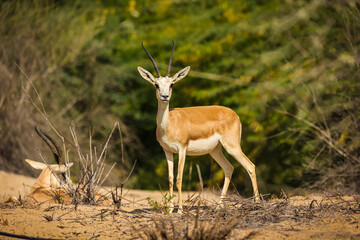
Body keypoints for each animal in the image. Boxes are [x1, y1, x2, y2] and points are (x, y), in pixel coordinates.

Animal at [138, 41, 258, 214]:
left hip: (232, 146)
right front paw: (170, 210)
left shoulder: (182, 149)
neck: (169, 123)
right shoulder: (167, 150)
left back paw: (257, 204)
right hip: (215, 150)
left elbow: (179, 178)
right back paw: (219, 207)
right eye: (156, 84)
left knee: (250, 166)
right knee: (229, 168)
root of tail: (234, 114)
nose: (165, 96)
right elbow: (170, 179)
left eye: (172, 84)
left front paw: (180, 210)